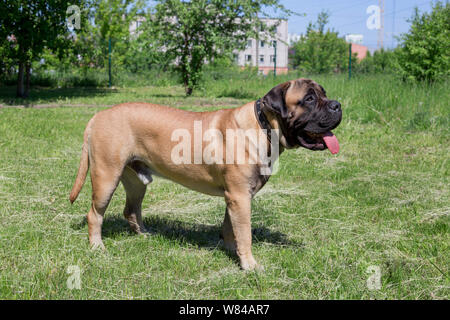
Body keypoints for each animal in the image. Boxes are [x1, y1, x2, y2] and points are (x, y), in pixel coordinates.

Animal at [69, 77, 342, 270]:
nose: (337, 105)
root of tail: (98, 116)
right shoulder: (240, 197)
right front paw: (250, 264)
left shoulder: (235, 197)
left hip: (136, 180)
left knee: (131, 209)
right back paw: (97, 247)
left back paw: (145, 235)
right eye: (309, 99)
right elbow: (245, 233)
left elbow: (231, 227)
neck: (263, 126)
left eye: (324, 94)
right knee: (94, 214)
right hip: (106, 177)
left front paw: (232, 250)